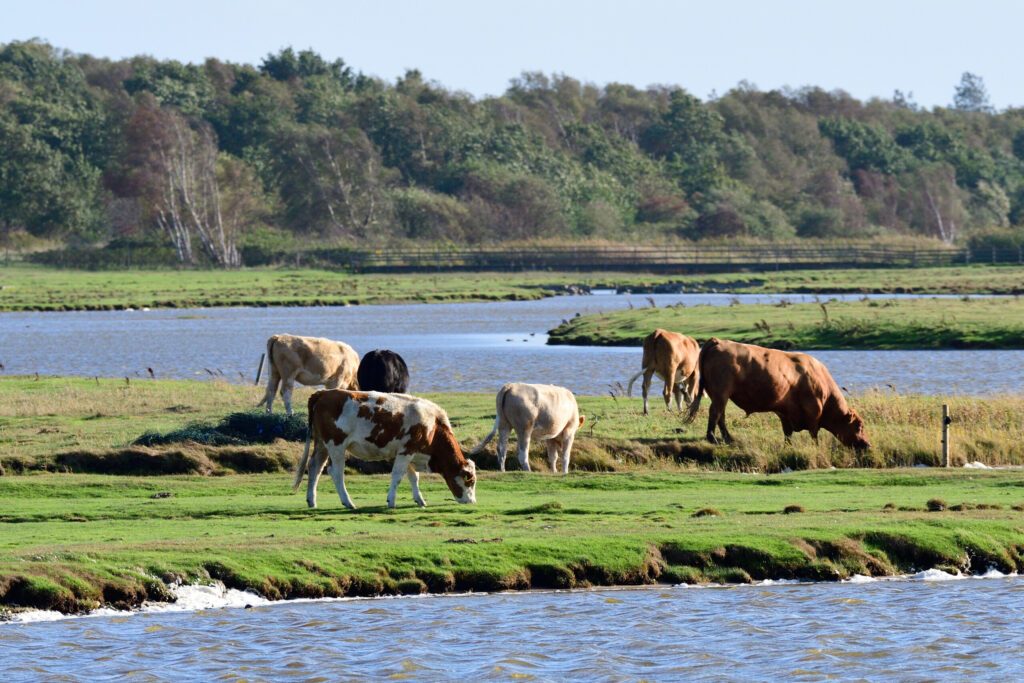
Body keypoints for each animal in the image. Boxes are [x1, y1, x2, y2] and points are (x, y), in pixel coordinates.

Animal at [292, 387, 475, 509]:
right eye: (470, 481)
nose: (472, 501)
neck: (433, 425)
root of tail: (324, 393)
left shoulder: (408, 452)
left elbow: (413, 477)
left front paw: (419, 500)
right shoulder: (406, 451)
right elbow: (397, 476)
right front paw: (391, 501)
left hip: (321, 443)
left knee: (314, 467)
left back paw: (312, 501)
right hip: (336, 445)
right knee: (335, 472)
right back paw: (348, 502)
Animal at [684, 339, 868, 450]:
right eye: (859, 426)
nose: (867, 445)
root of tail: (719, 341)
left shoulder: (785, 412)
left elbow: (787, 433)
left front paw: (788, 447)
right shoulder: (813, 412)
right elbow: (814, 433)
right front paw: (815, 447)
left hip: (720, 395)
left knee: (720, 415)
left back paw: (728, 439)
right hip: (721, 393)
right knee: (715, 413)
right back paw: (712, 438)